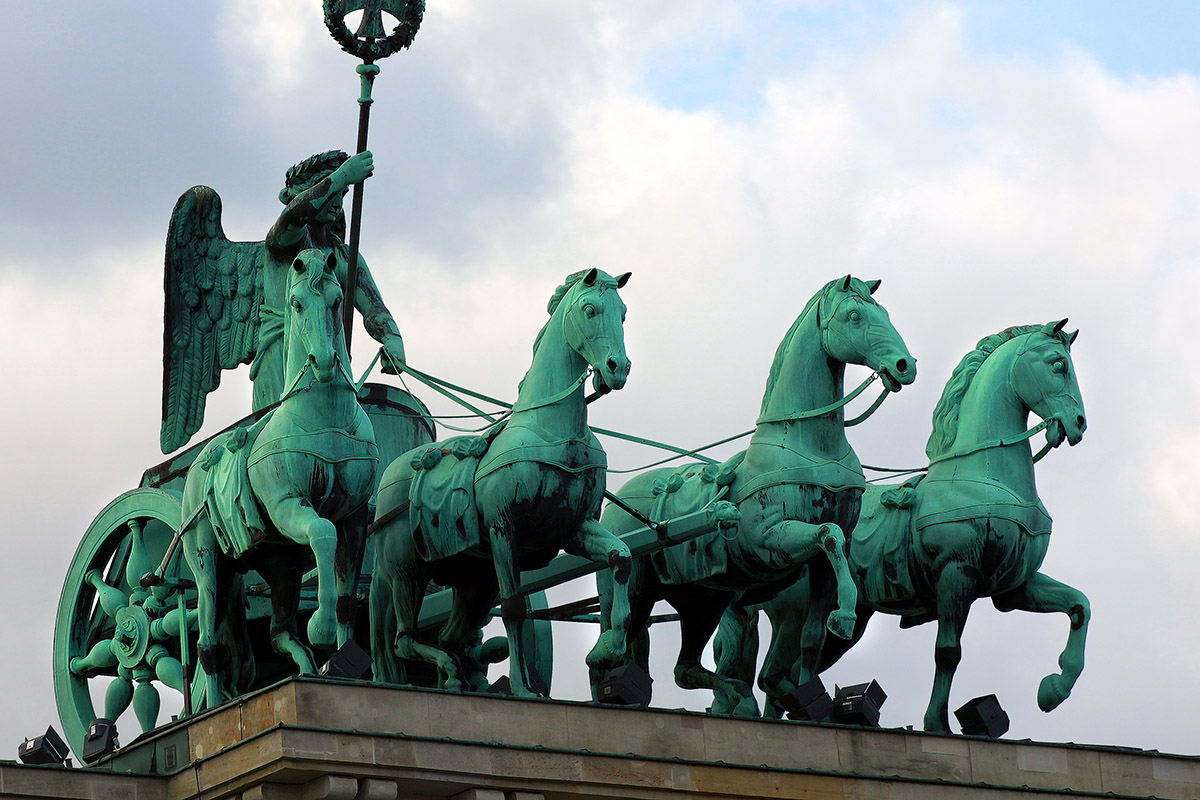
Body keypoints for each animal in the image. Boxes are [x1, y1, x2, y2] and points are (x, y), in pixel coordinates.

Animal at [176, 248, 374, 700]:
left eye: (338, 301)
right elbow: (323, 532)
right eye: (296, 304)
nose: (323, 362)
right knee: (208, 644)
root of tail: (195, 470)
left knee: (280, 633)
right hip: (207, 561)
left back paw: (308, 669)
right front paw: (321, 627)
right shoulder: (289, 506)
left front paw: (347, 660)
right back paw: (214, 706)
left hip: (281, 564)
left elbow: (347, 600)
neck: (324, 413)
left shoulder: (355, 516)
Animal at [372, 267, 638, 695]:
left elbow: (622, 557)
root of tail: (389, 479)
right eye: (590, 309)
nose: (618, 368)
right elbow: (514, 607)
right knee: (403, 641)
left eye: (624, 313)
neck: (551, 430)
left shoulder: (575, 528)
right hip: (404, 572)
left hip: (474, 585)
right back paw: (447, 672)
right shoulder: (503, 528)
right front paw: (523, 688)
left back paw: (454, 678)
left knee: (448, 637)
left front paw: (607, 649)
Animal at [595, 278, 912, 714]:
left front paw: (811, 692)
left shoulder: (818, 568)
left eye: (884, 313)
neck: (811, 445)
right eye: (854, 315)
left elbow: (812, 635)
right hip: (634, 589)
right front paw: (845, 617)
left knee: (683, 668)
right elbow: (828, 534)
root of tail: (616, 503)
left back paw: (735, 694)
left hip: (703, 601)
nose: (905, 365)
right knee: (612, 647)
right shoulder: (771, 539)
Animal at [720, 321, 1089, 734]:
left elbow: (1079, 606)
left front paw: (1054, 689)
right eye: (1058, 365)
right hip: (795, 612)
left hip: (840, 626)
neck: (984, 475)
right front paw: (937, 723)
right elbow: (948, 651)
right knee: (774, 672)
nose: (1078, 423)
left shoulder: (1013, 587)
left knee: (784, 671)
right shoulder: (957, 576)